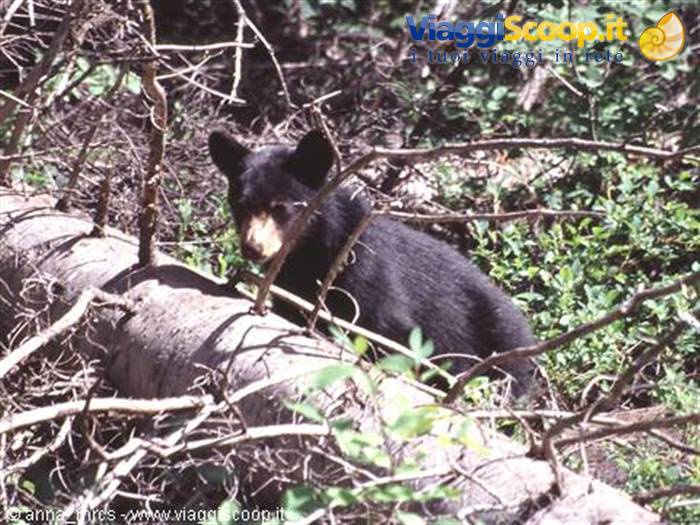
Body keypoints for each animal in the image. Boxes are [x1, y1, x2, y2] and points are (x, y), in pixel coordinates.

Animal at [208, 129, 537, 398]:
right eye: (240, 205)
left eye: (281, 208)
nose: (252, 247)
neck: (311, 251)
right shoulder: (291, 286)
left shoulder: (366, 270)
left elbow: (389, 330)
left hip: (498, 340)